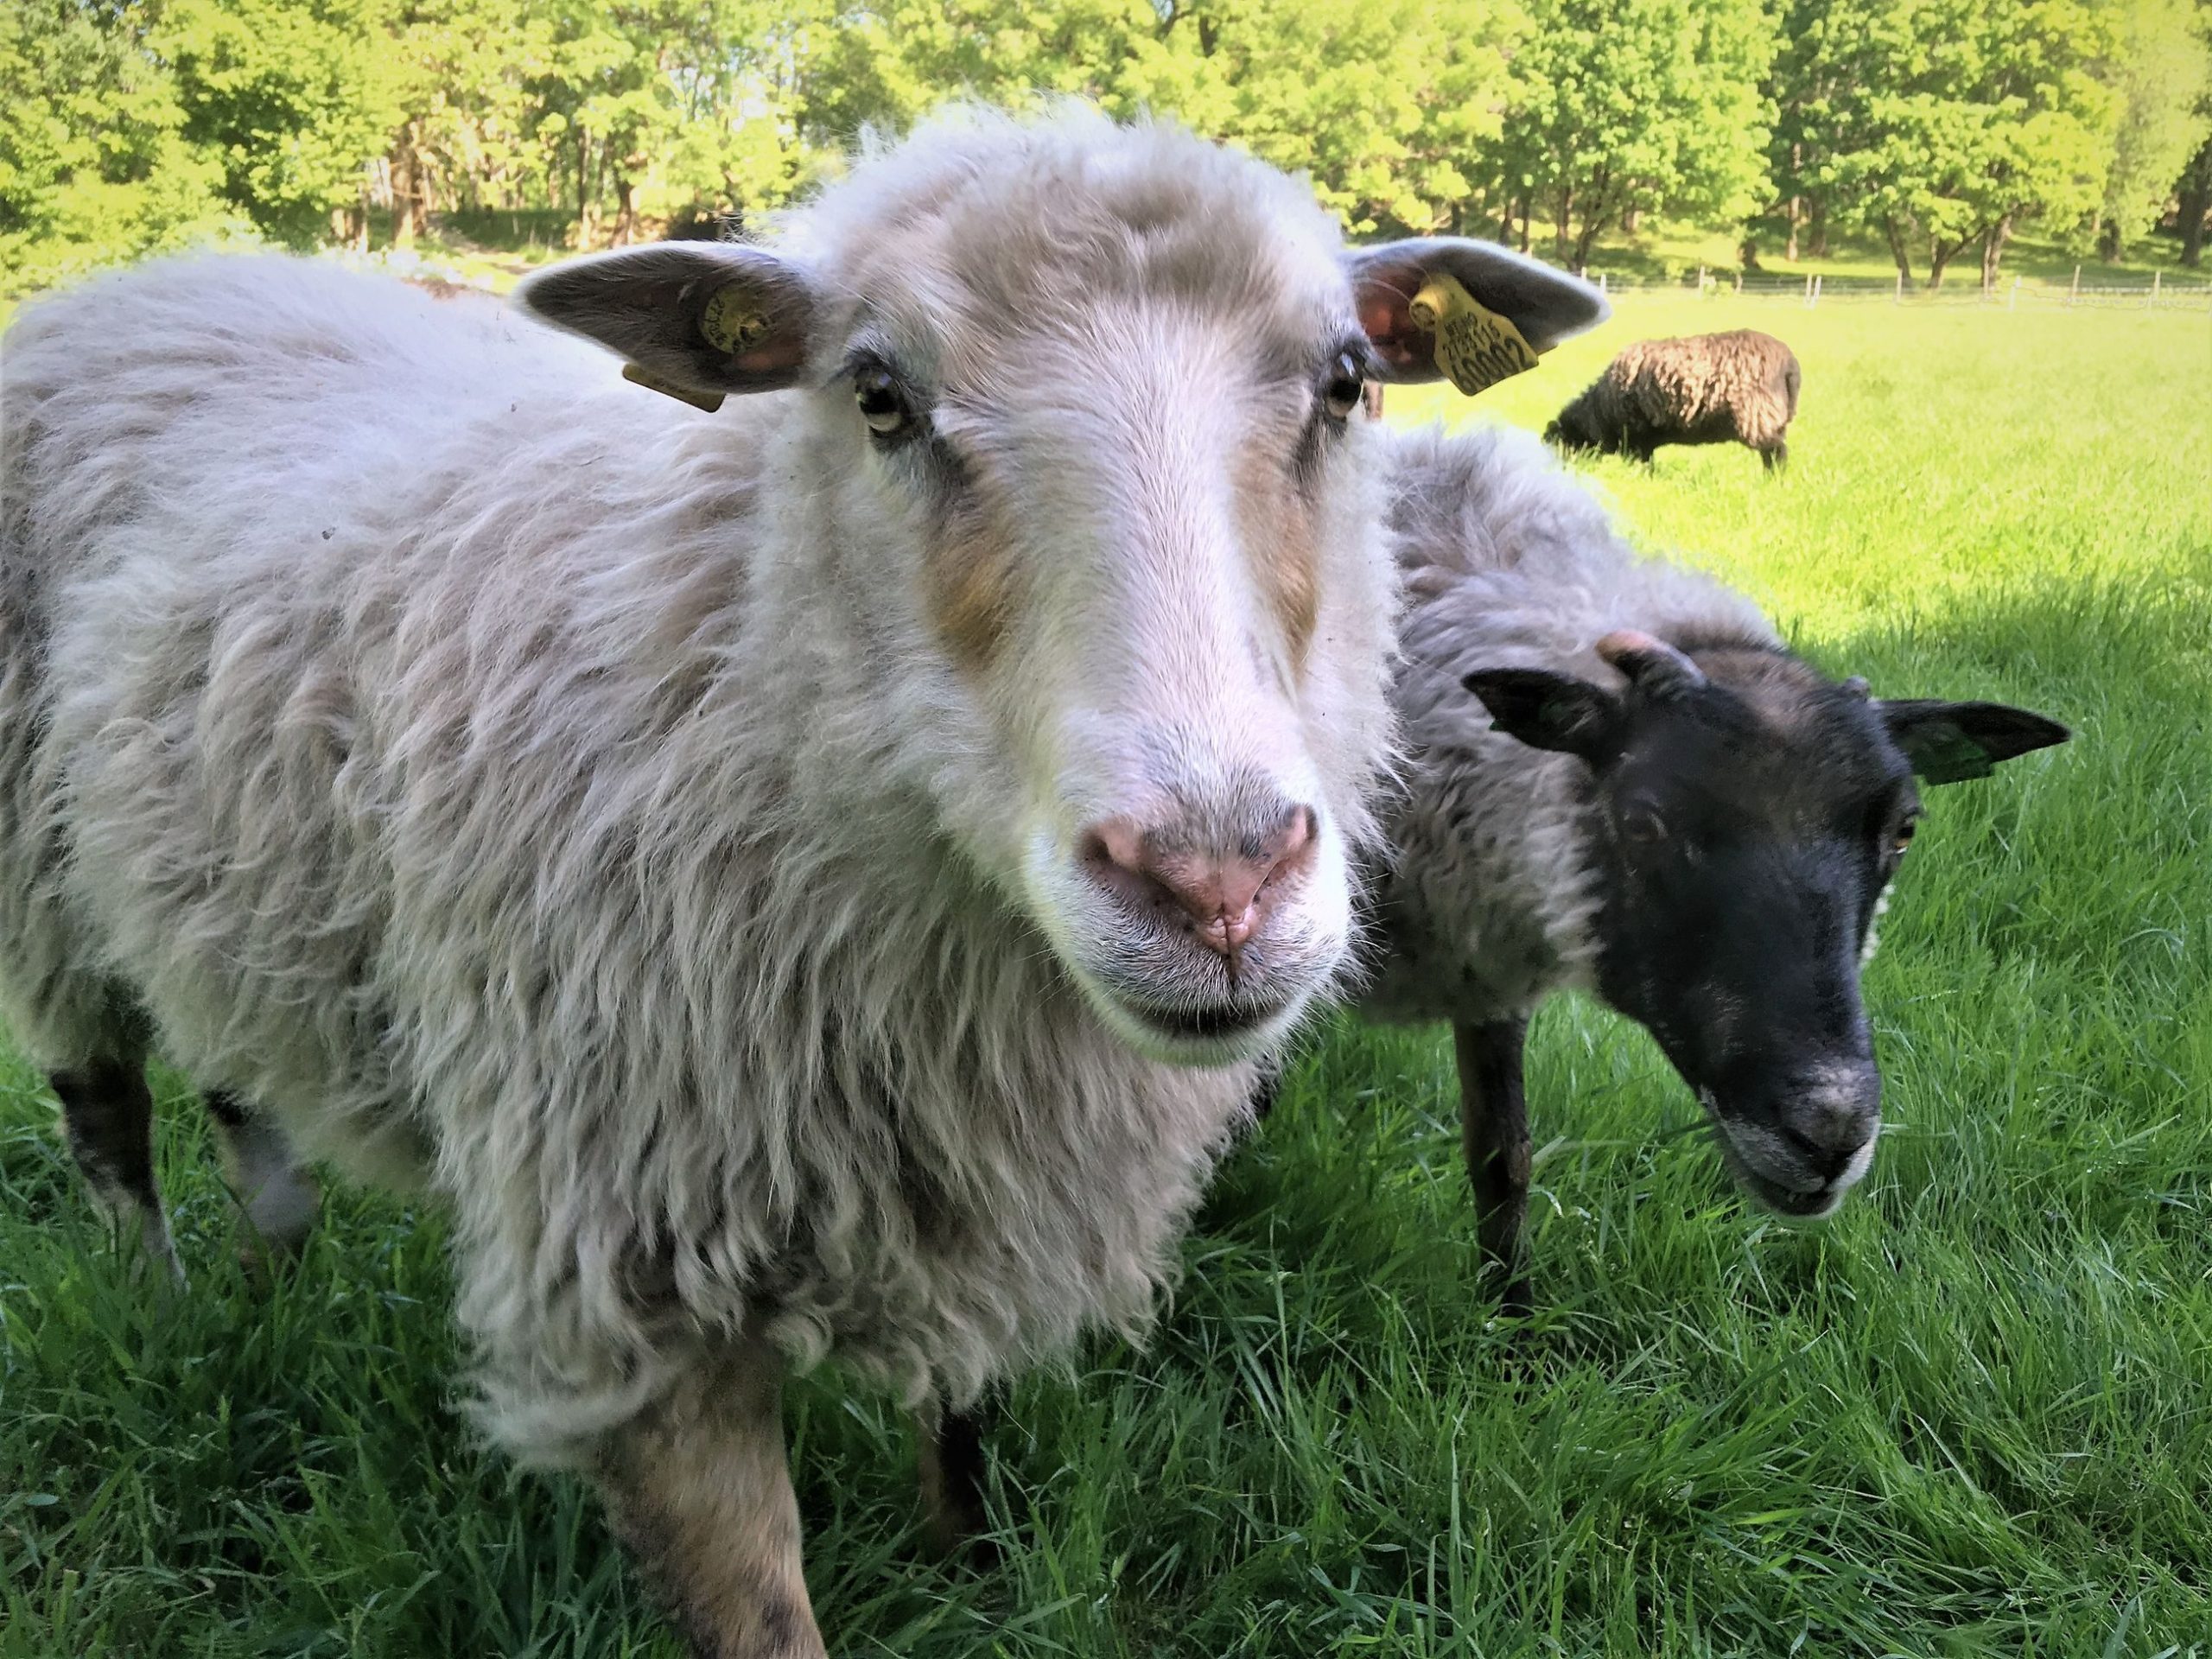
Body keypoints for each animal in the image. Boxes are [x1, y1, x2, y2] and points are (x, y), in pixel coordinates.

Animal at [0, 111, 1601, 1654]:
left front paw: (974, 1575)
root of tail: (168, 272)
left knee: (237, 1092)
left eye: (1346, 382)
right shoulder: (630, 1284)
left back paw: (267, 1276)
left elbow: (962, 1423)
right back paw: (162, 1308)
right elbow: (761, 1611)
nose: (1214, 885)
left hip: (219, 886)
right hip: (43, 883)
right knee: (109, 1115)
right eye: (878, 395)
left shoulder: (974, 1177)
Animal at [1362, 422, 2070, 1309]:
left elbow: (1503, 1160)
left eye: (1905, 829)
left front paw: (1510, 1319)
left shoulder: (1486, 967)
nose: (1828, 1134)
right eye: (1642, 822)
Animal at [1548, 329, 1804, 473]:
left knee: (1775, 453)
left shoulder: (1636, 437)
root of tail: (1790, 366)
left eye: (1559, 441)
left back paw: (1773, 480)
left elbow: (1642, 462)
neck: (1600, 413)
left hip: (1758, 415)